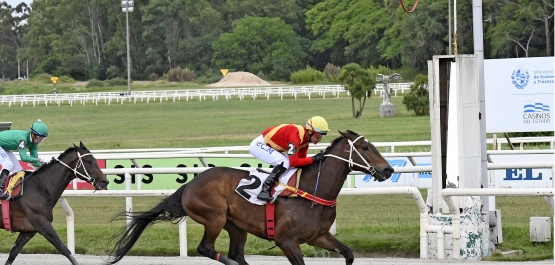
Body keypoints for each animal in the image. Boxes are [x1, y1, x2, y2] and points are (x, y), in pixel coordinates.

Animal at [108, 130, 394, 264]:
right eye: (365, 147)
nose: (388, 170)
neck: (314, 189)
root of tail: (189, 185)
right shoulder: (286, 241)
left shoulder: (319, 236)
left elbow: (348, 253)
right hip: (214, 217)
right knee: (207, 248)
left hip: (237, 226)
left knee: (236, 253)